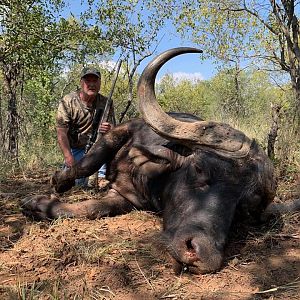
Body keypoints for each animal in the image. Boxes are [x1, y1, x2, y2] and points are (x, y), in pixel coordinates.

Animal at [22, 47, 292, 274]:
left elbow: (94, 208)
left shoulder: (126, 198)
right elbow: (86, 164)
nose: (199, 252)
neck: (150, 181)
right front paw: (53, 187)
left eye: (244, 209)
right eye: (198, 169)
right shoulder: (121, 131)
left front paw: (39, 205)